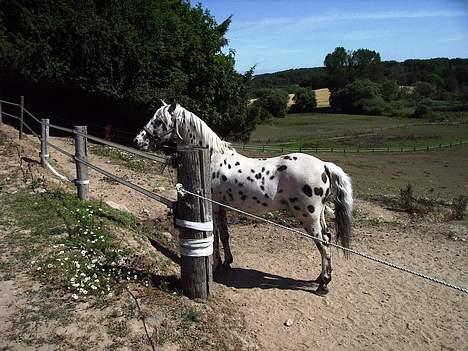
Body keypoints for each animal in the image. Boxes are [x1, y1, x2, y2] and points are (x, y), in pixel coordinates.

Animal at [133, 102, 352, 294]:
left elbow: (214, 236)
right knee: (328, 239)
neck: (213, 158)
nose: (138, 140)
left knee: (323, 243)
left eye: (159, 120)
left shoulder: (213, 207)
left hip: (308, 217)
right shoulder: (221, 207)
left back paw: (323, 284)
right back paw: (320, 278)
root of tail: (323, 165)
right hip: (318, 215)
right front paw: (226, 263)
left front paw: (216, 265)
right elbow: (224, 235)